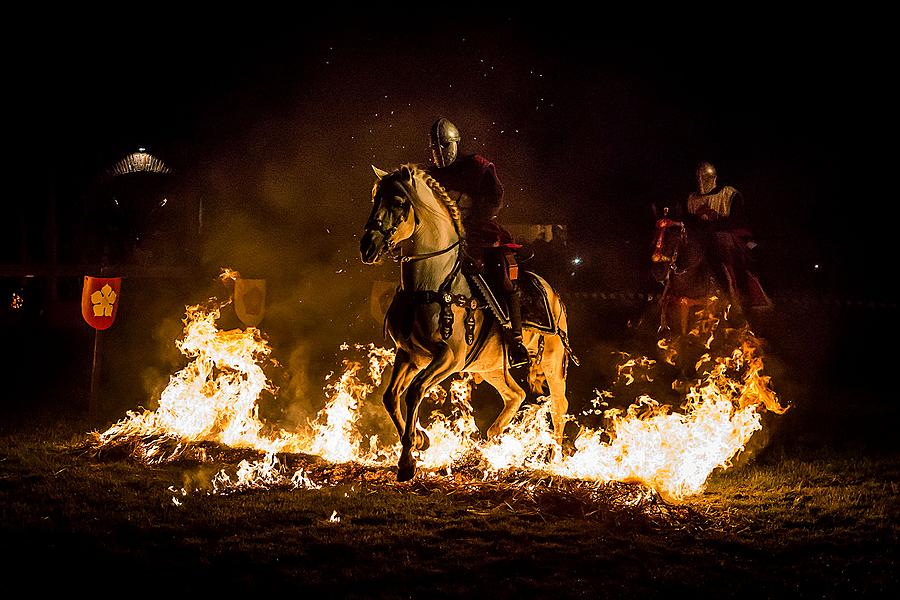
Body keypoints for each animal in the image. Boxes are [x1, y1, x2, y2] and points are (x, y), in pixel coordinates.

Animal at [360, 164, 576, 482]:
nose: (368, 247)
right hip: (490, 367)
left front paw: (408, 460)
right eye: (375, 197)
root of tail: (554, 294)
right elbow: (391, 396)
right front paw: (420, 439)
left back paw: (554, 457)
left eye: (398, 202)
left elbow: (415, 391)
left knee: (559, 405)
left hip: (552, 360)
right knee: (515, 395)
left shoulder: (449, 358)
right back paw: (494, 436)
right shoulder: (410, 355)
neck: (432, 282)